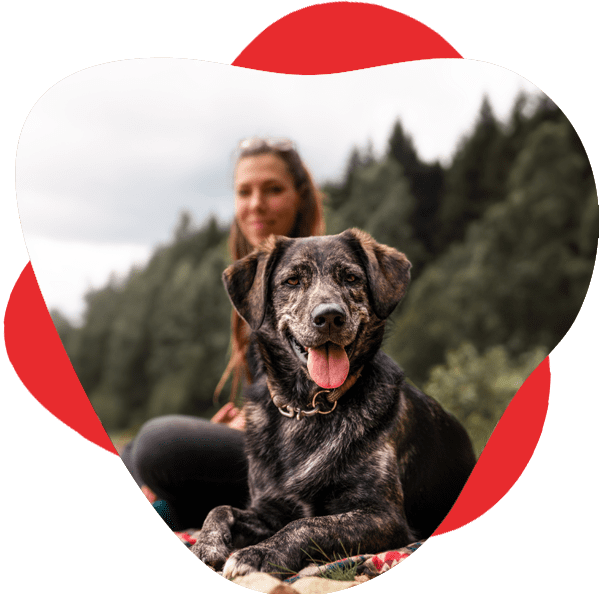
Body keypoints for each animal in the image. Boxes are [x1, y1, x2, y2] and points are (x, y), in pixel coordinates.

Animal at [192, 228, 478, 576]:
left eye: (351, 278)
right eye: (292, 281)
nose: (329, 316)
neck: (306, 407)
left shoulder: (383, 516)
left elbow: (309, 525)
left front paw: (259, 554)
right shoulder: (269, 509)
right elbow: (220, 509)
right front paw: (207, 544)